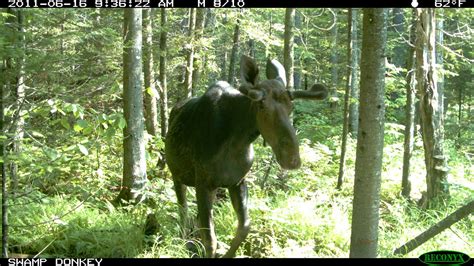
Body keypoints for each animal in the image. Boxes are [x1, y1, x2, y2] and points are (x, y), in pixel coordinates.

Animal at [165, 55, 328, 258]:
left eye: (291, 106)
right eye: (261, 104)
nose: (292, 158)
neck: (237, 141)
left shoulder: (237, 181)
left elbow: (244, 227)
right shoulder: (203, 183)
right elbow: (210, 240)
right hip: (176, 175)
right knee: (183, 210)